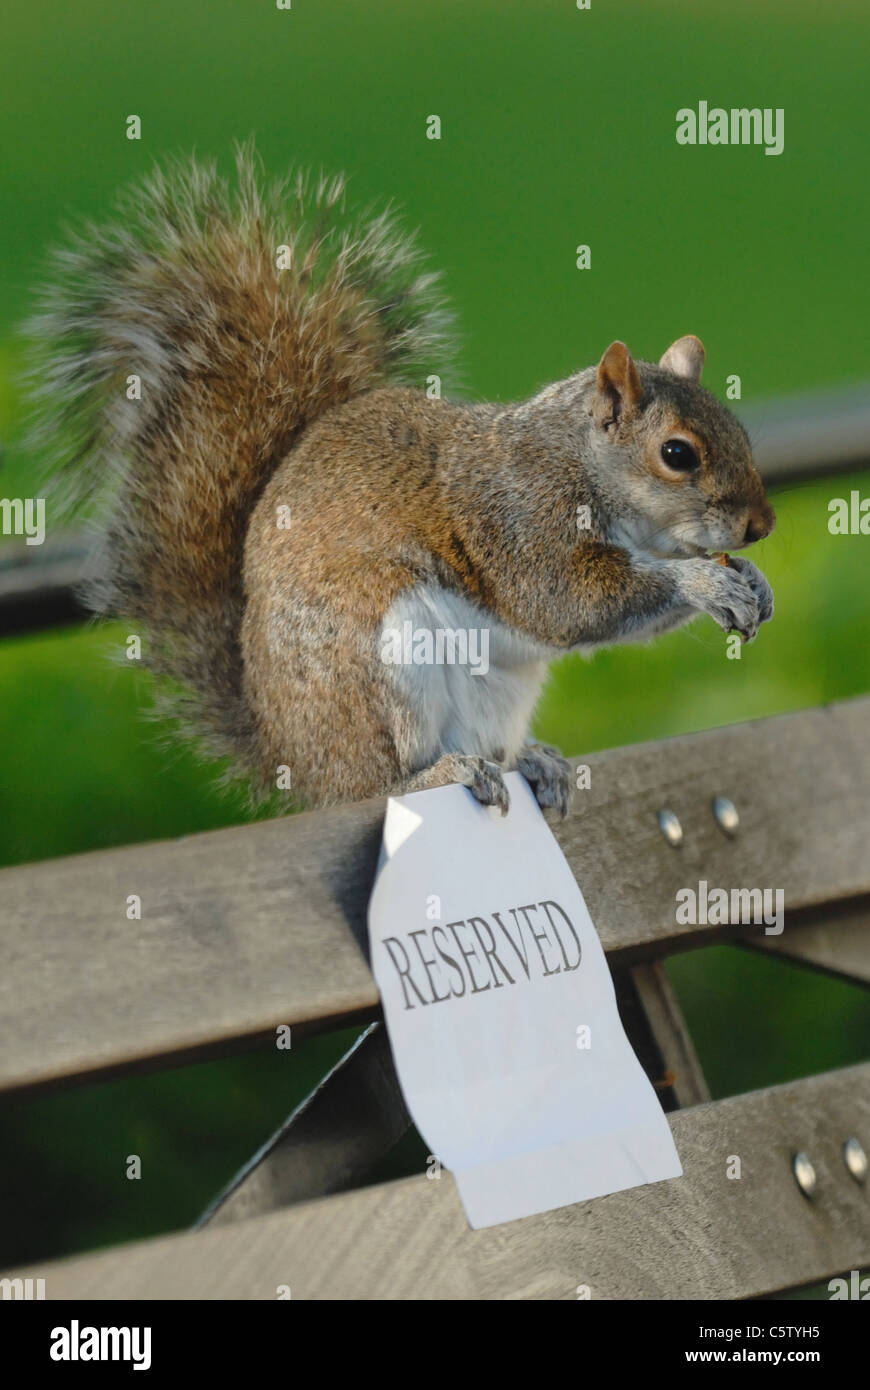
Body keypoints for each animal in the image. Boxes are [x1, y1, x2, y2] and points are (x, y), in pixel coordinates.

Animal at [27, 143, 772, 811]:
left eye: (737, 425)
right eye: (677, 454)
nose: (760, 526)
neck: (580, 461)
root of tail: (292, 759)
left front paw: (749, 581)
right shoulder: (518, 516)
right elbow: (566, 601)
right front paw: (701, 581)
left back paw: (531, 761)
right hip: (387, 657)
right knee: (377, 782)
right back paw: (435, 774)